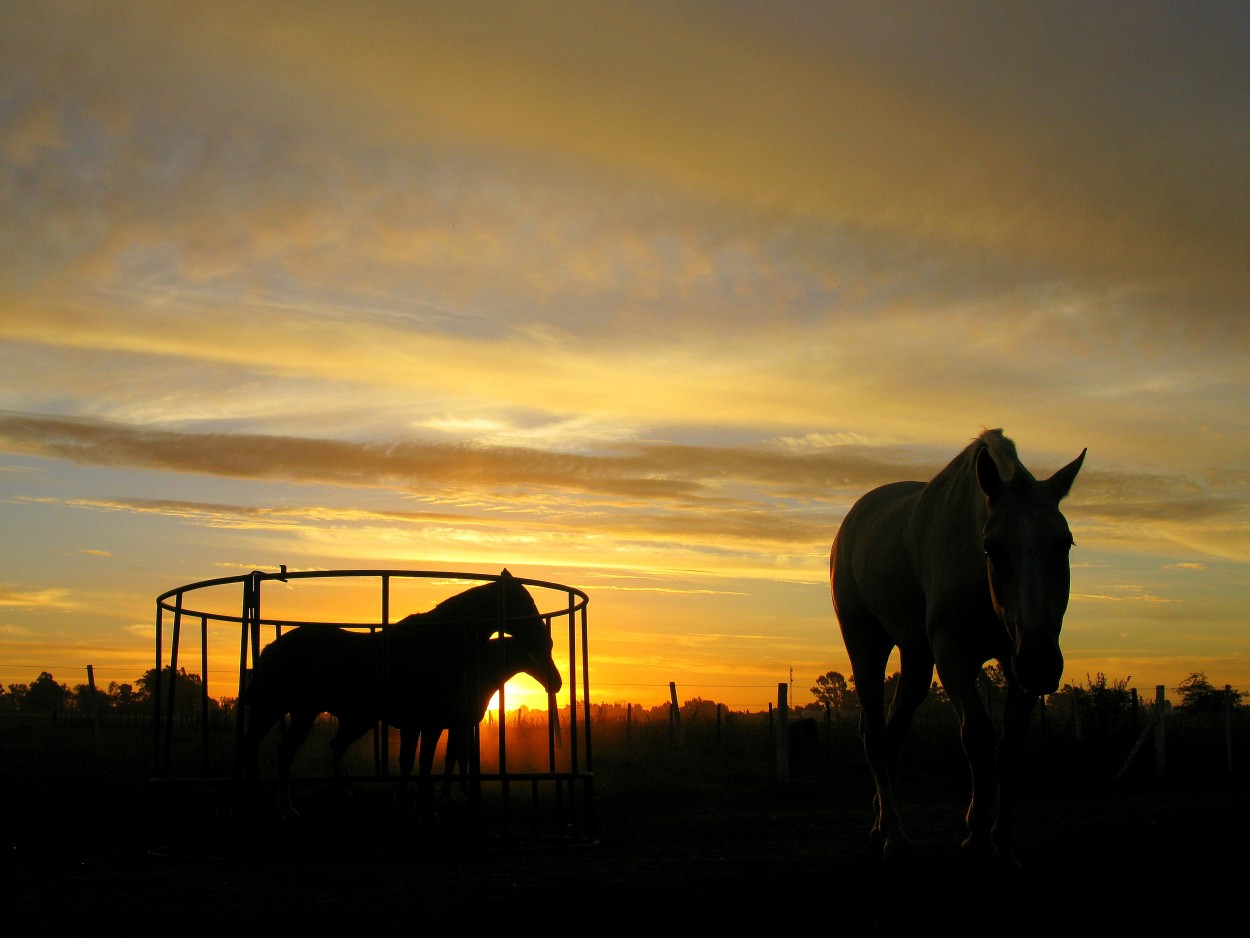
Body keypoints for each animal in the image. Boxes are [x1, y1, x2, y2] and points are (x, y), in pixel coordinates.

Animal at [237, 570, 557, 820]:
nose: (546, 641)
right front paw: (426, 808)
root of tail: (273, 647)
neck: (437, 643)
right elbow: (424, 763)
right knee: (275, 748)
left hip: (296, 710)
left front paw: (407, 806)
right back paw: (280, 807)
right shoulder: (430, 723)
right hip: (289, 708)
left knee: (272, 747)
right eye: (524, 602)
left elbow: (412, 761)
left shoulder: (420, 724)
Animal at [830, 432, 1085, 865]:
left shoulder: (1014, 661)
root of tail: (853, 519)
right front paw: (977, 837)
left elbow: (1010, 745)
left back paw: (880, 827)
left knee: (895, 730)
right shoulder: (954, 656)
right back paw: (894, 835)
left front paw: (1003, 841)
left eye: (1064, 543)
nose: (1041, 665)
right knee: (875, 736)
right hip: (866, 643)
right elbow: (978, 736)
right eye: (992, 546)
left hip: (916, 655)